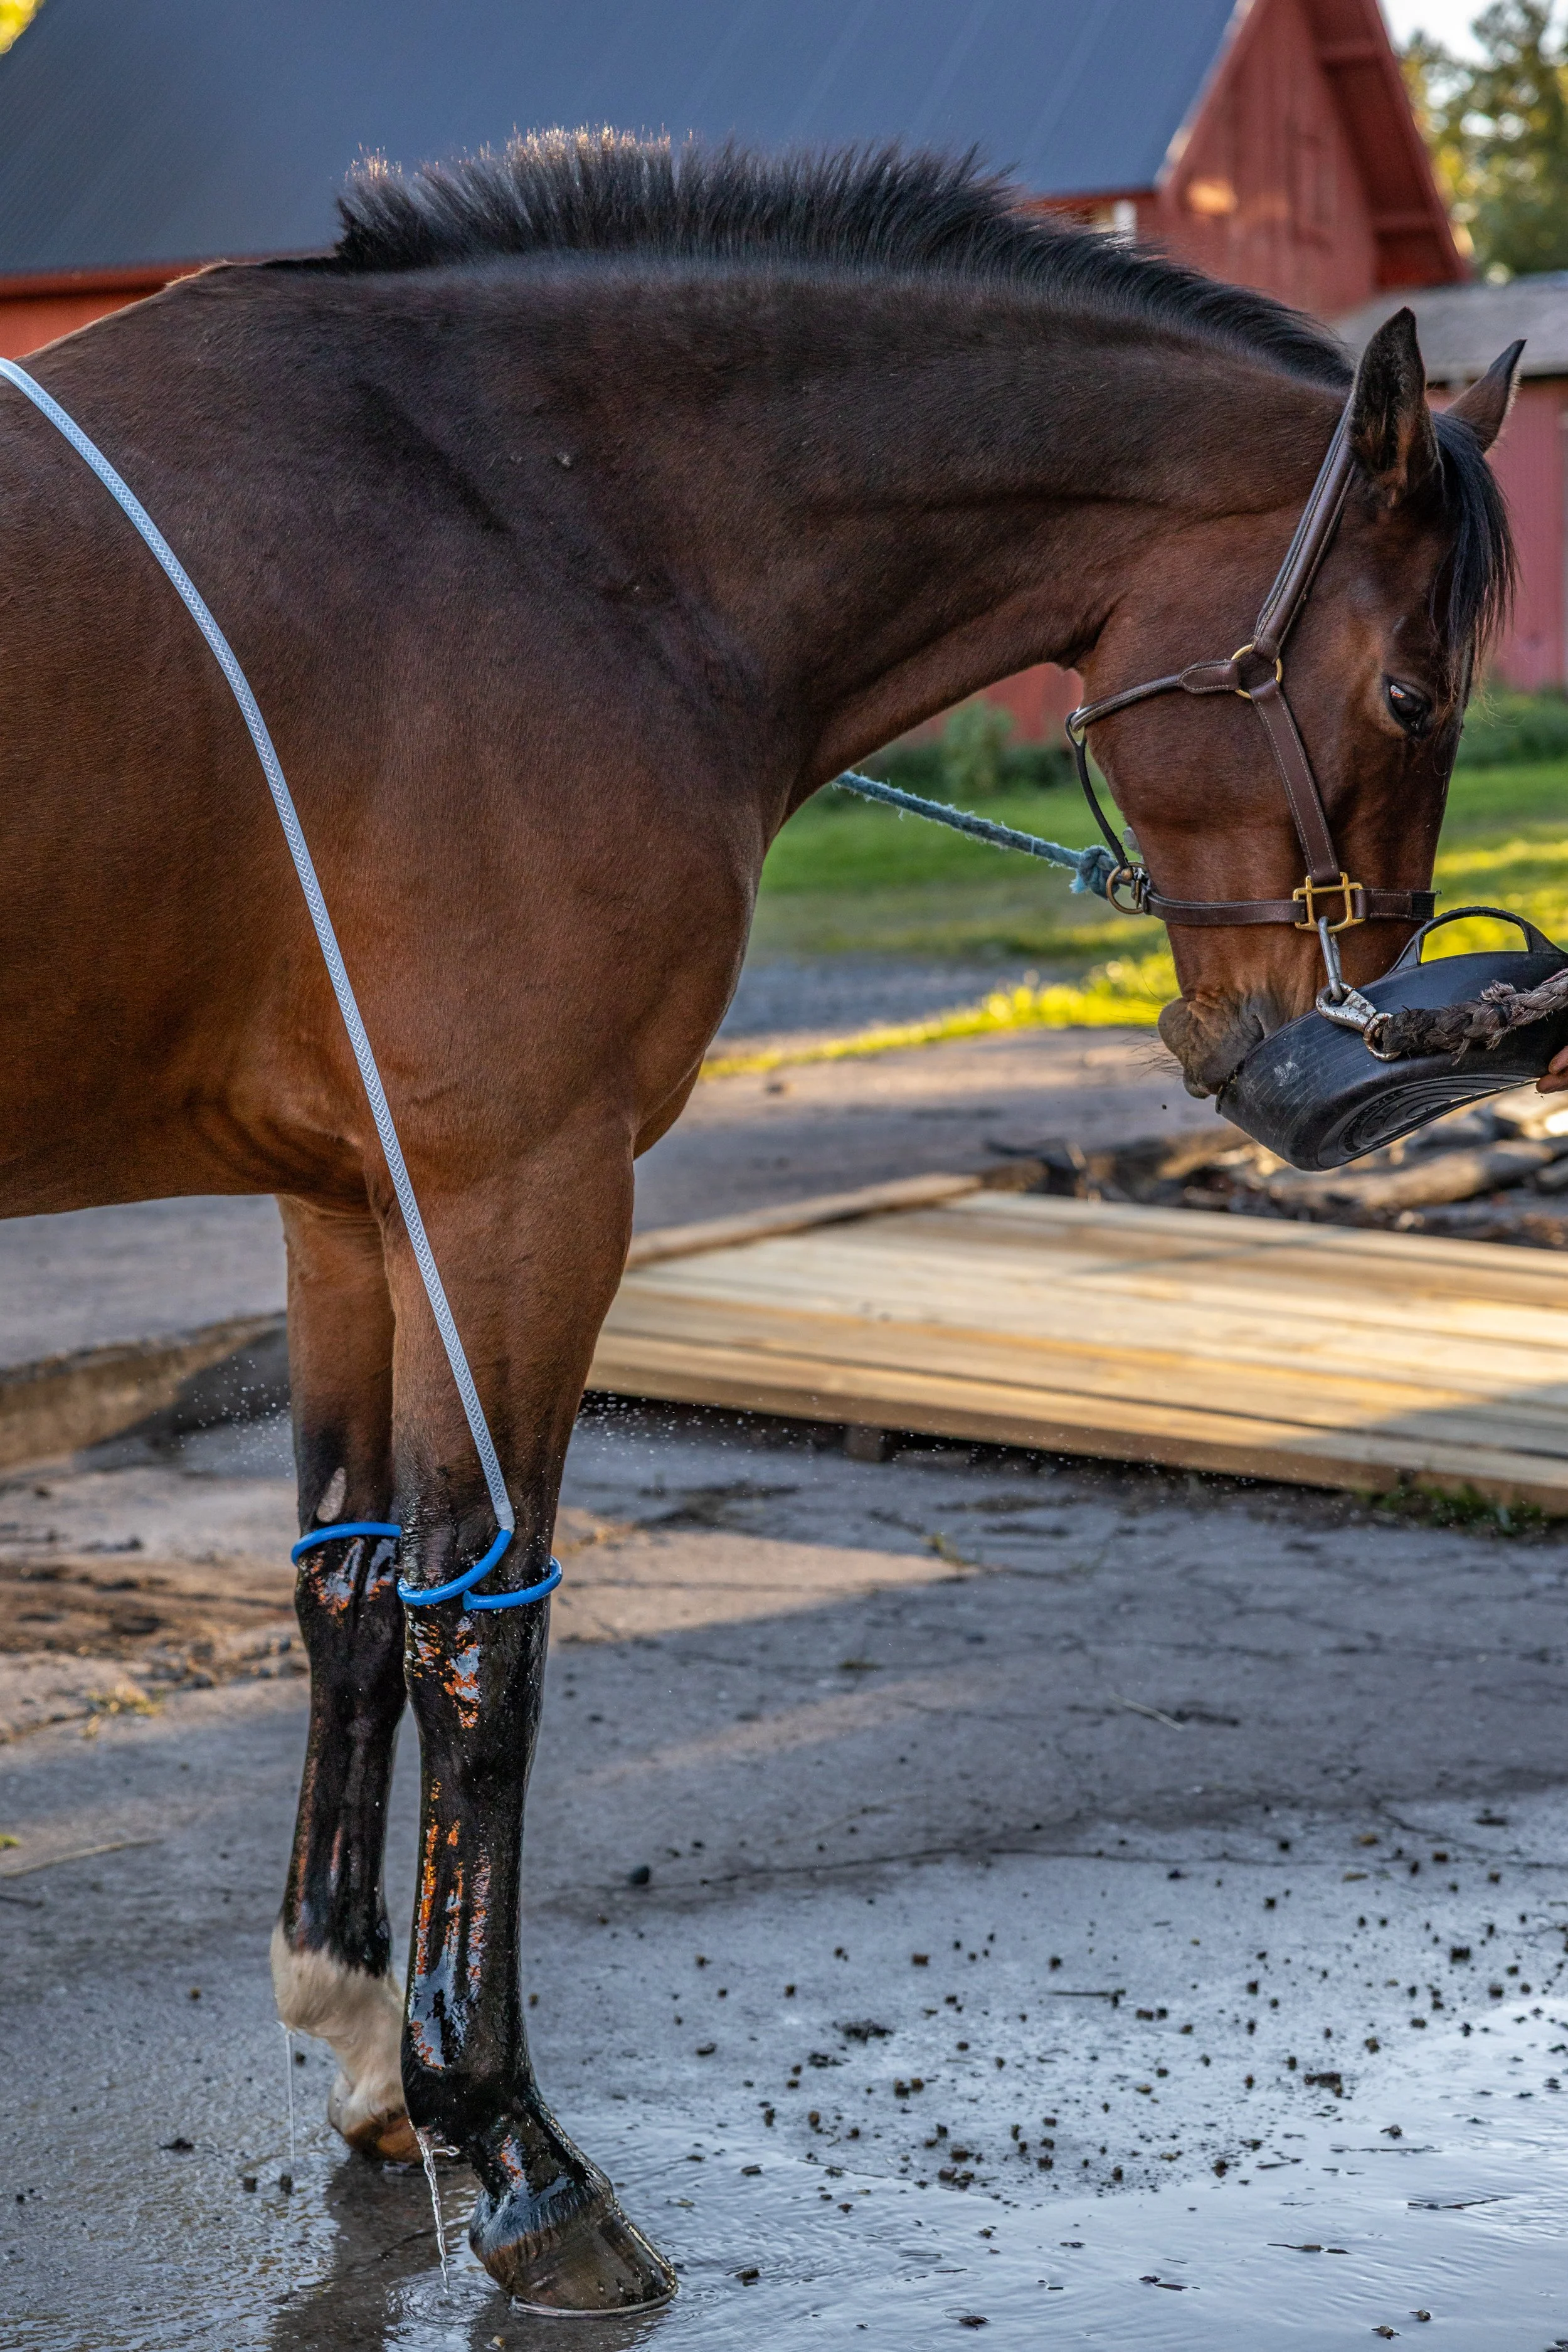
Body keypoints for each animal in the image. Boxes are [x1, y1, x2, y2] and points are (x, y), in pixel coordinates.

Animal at [0, 131, 1517, 2312]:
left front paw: (365, 2042)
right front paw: (512, 2148)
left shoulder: (353, 1200)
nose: (1316, 1062)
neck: (528, 528)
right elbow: (484, 1634)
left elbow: (348, 1591)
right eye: (1403, 685)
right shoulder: (522, 1191)